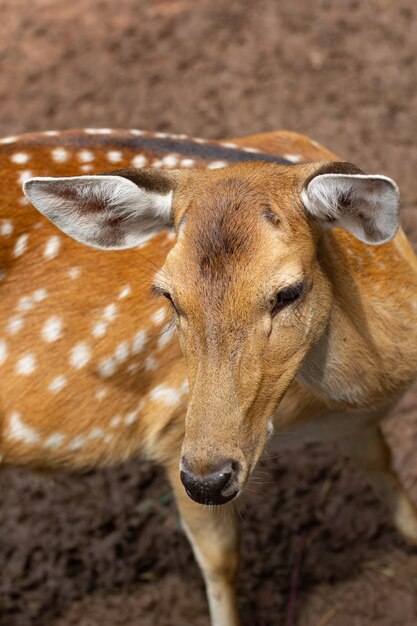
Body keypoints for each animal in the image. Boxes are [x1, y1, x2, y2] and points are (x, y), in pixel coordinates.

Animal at [0, 127, 416, 624]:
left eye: (289, 292)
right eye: (167, 295)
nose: (208, 479)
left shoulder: (355, 425)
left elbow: (386, 473)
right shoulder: (168, 432)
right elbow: (222, 560)